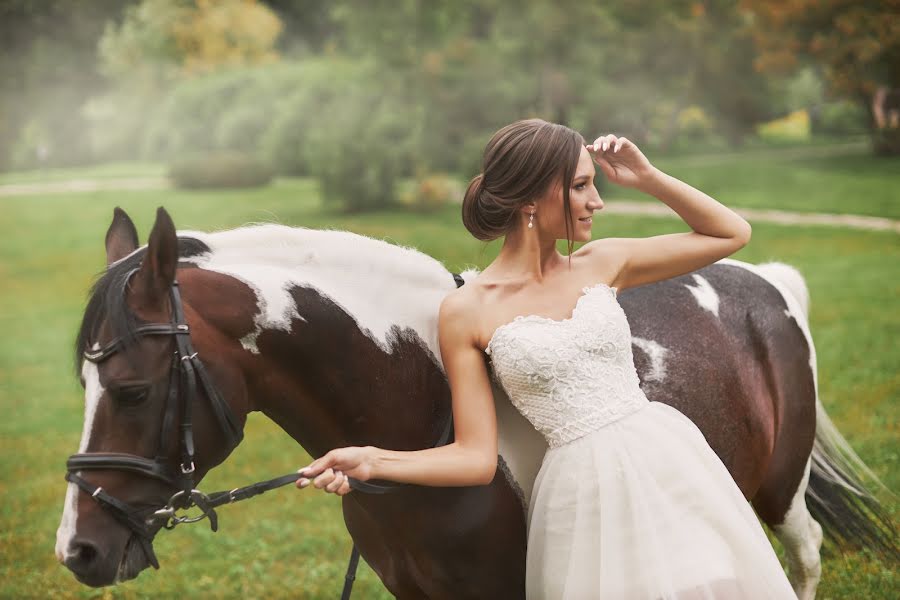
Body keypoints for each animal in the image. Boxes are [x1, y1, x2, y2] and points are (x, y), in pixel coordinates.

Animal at [56, 209, 892, 596]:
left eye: (132, 388)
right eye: (86, 385)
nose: (79, 550)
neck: (433, 432)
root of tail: (765, 283)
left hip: (779, 493)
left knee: (804, 556)